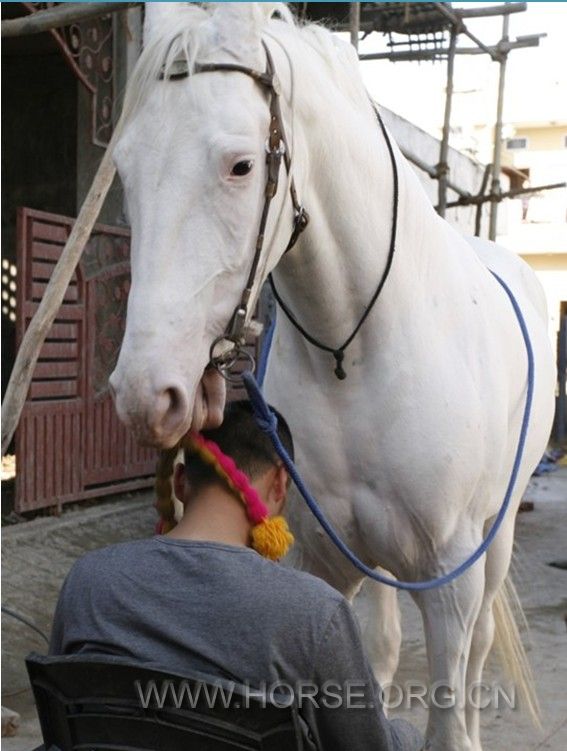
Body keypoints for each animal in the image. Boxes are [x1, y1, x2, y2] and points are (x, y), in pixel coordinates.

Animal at [108, 7, 556, 751]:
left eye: (241, 165)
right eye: (125, 168)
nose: (146, 393)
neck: (356, 348)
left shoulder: (450, 579)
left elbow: (446, 702)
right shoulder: (325, 560)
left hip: (494, 539)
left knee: (480, 647)